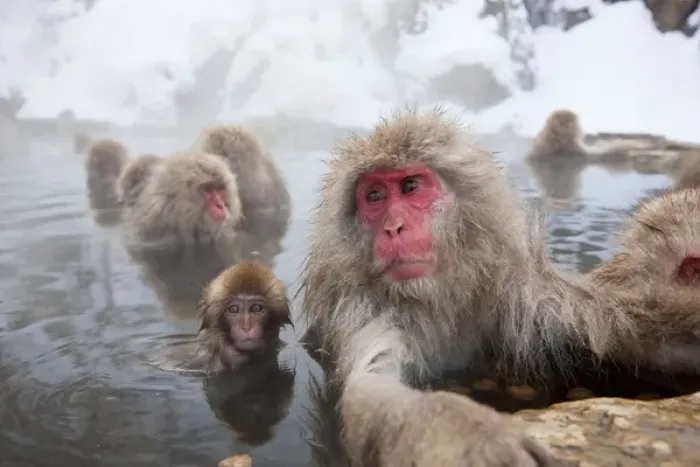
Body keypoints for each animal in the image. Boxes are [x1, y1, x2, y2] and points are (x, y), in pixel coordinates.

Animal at [298, 107, 700, 467]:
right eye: (374, 197)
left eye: (410, 187)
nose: (392, 228)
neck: (439, 301)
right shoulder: (366, 312)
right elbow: (370, 388)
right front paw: (463, 436)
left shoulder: (525, 302)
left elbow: (617, 336)